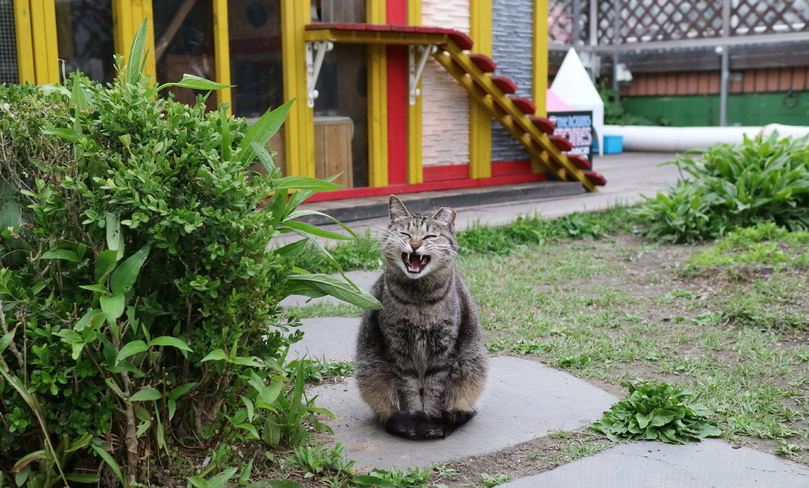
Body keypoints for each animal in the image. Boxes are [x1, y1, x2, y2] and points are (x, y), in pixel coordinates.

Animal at [354, 196, 486, 440]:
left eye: (429, 237)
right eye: (406, 234)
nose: (415, 245)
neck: (419, 300)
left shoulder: (443, 347)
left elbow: (435, 390)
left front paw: (429, 421)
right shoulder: (399, 347)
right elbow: (410, 390)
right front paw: (415, 420)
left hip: (471, 366)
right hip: (372, 369)